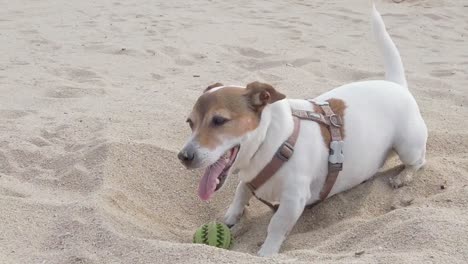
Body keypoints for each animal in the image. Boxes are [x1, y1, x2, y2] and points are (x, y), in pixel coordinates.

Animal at [177, 5, 426, 256]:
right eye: (190, 122)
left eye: (219, 120)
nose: (184, 156)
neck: (273, 142)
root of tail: (396, 84)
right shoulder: (249, 180)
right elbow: (241, 191)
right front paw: (232, 215)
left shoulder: (293, 200)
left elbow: (276, 225)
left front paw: (266, 253)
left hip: (408, 146)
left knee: (418, 162)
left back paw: (403, 177)